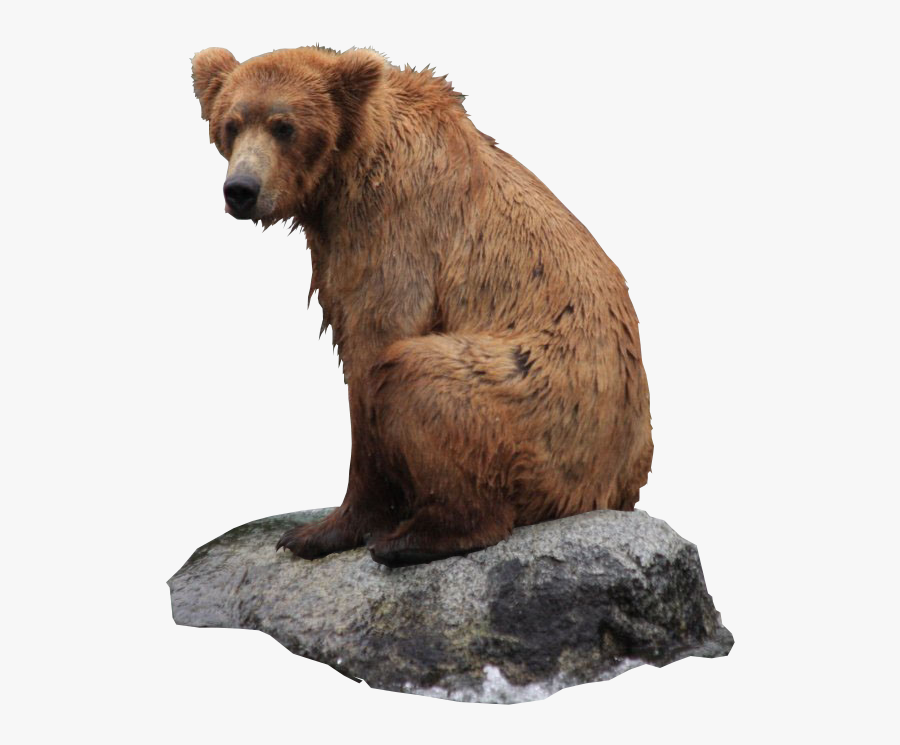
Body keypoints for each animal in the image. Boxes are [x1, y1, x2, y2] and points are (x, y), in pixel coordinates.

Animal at [191, 45, 653, 567]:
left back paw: (414, 539)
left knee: (419, 371)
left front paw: (320, 531)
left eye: (283, 125)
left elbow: (374, 349)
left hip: (543, 409)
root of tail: (611, 490)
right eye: (231, 124)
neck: (341, 175)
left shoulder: (394, 224)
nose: (241, 190)